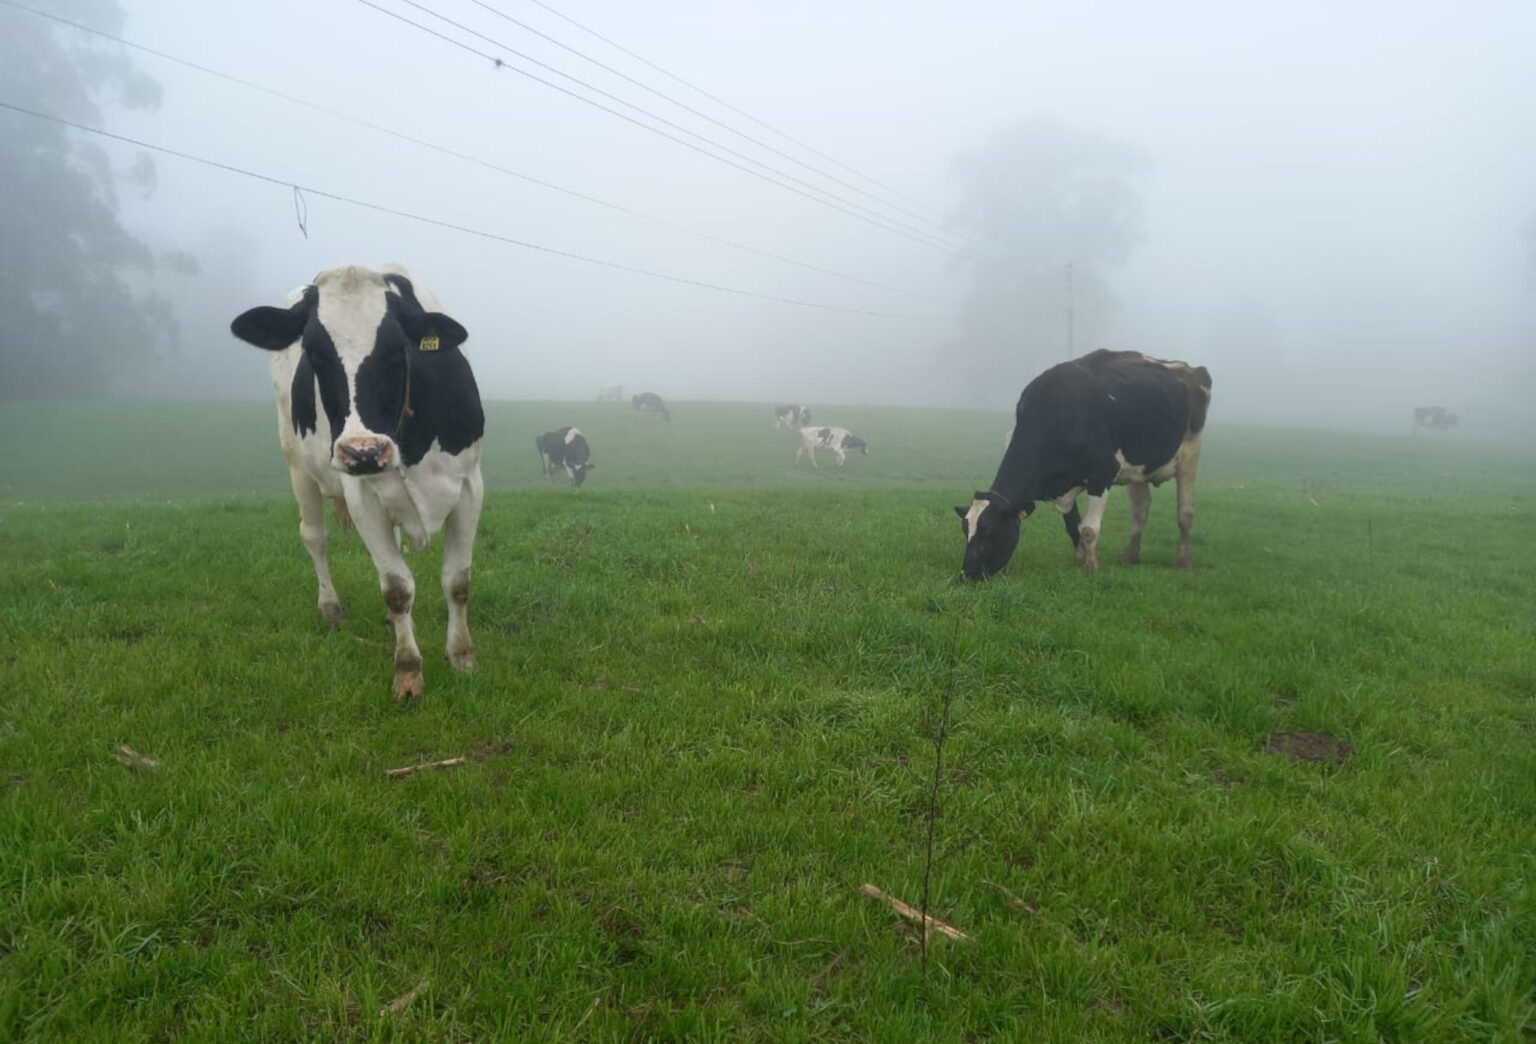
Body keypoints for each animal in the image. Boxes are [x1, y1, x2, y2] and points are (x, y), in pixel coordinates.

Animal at [224, 262, 479, 700]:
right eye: (314, 353)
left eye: (397, 349)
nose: (363, 452)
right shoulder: (362, 496)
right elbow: (397, 588)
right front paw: (408, 670)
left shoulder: (469, 486)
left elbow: (457, 581)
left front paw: (461, 656)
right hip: (298, 464)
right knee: (314, 537)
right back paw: (331, 607)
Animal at [958, 350, 1210, 580]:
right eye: (965, 529)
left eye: (989, 531)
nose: (966, 574)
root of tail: (1190, 368)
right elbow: (1073, 524)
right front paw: (1079, 560)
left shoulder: (1103, 473)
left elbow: (1088, 528)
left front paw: (1091, 567)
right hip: (1138, 467)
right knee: (1141, 509)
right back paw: (1130, 555)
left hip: (1190, 454)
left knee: (1185, 513)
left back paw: (1183, 561)